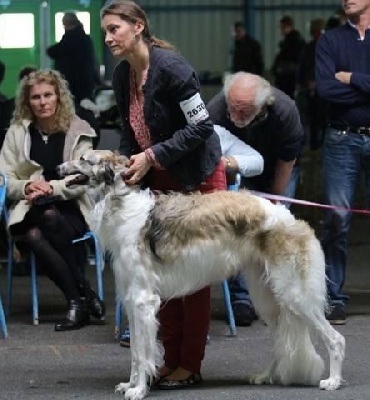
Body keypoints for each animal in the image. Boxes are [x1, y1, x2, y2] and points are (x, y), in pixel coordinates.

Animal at [57, 150, 344, 400]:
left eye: (83, 159)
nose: (58, 168)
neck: (121, 206)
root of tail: (293, 219)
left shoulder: (143, 300)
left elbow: (142, 352)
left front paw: (138, 390)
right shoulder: (131, 299)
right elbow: (136, 352)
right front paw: (130, 384)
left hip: (295, 296)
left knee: (335, 340)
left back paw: (332, 381)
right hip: (268, 298)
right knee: (281, 341)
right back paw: (265, 376)